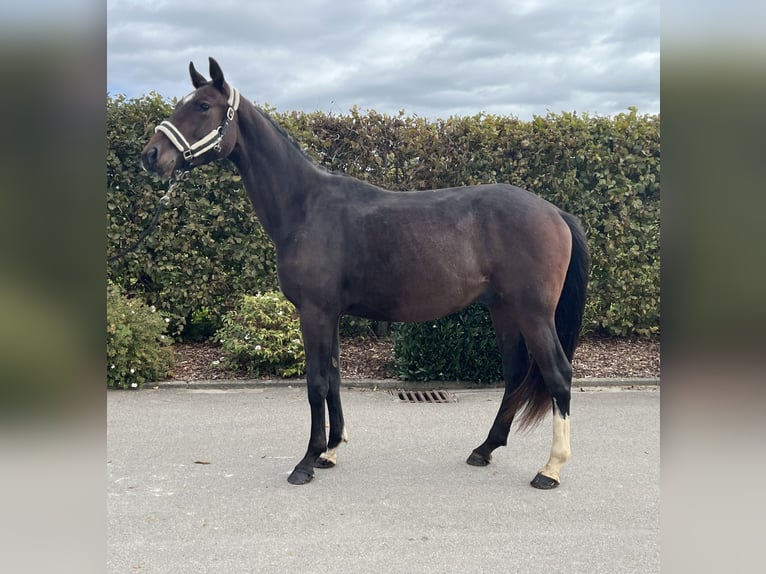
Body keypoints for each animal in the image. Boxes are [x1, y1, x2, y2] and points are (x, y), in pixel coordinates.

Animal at [141, 58, 590, 488]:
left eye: (202, 106)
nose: (151, 155)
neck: (307, 206)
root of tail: (555, 212)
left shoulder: (314, 312)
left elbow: (316, 382)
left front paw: (306, 462)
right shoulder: (330, 314)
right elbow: (334, 376)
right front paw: (330, 452)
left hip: (533, 312)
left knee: (558, 375)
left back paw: (550, 469)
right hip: (503, 309)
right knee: (515, 374)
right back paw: (485, 449)